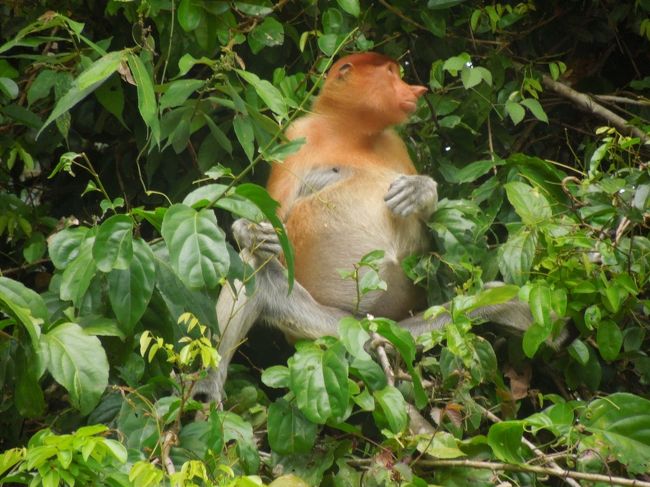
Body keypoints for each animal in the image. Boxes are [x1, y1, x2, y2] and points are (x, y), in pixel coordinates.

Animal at [195, 53, 540, 404]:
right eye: (390, 74)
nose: (415, 89)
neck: (351, 132)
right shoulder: (296, 135)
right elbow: (275, 218)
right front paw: (249, 230)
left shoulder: (396, 144)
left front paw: (419, 192)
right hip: (325, 326)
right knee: (255, 267)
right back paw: (206, 388)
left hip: (402, 332)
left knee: (487, 303)